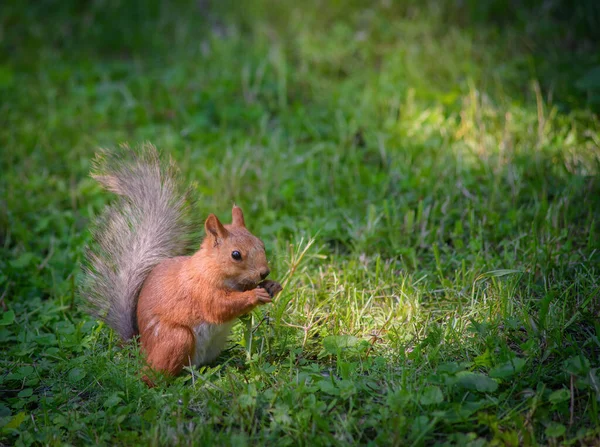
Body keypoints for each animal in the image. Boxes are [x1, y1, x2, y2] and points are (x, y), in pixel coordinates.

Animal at [80, 145, 284, 384]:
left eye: (261, 243)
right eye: (236, 255)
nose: (264, 272)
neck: (211, 268)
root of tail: (141, 351)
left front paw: (272, 286)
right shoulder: (199, 291)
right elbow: (219, 307)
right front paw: (255, 295)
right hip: (176, 338)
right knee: (156, 373)